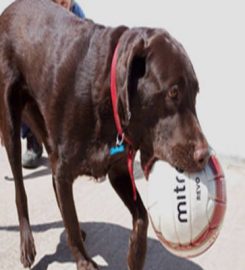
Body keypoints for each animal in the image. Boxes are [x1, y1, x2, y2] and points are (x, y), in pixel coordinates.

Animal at [0, 0, 209, 268]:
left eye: (196, 92)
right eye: (173, 92)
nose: (205, 155)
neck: (102, 95)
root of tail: (7, 11)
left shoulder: (118, 169)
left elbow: (141, 216)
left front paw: (135, 253)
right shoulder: (64, 170)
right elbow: (70, 220)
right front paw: (84, 260)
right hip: (11, 125)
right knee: (20, 190)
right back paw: (27, 243)